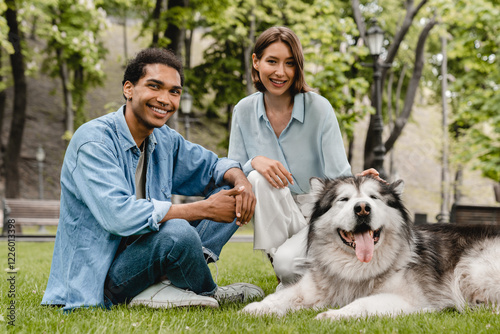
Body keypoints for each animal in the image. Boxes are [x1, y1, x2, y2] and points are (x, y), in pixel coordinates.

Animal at [243, 176, 500, 320]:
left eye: (374, 198)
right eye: (344, 200)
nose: (363, 208)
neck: (355, 267)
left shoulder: (409, 300)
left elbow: (362, 303)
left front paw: (334, 315)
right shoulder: (310, 288)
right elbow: (282, 297)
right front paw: (257, 308)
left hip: (472, 270)